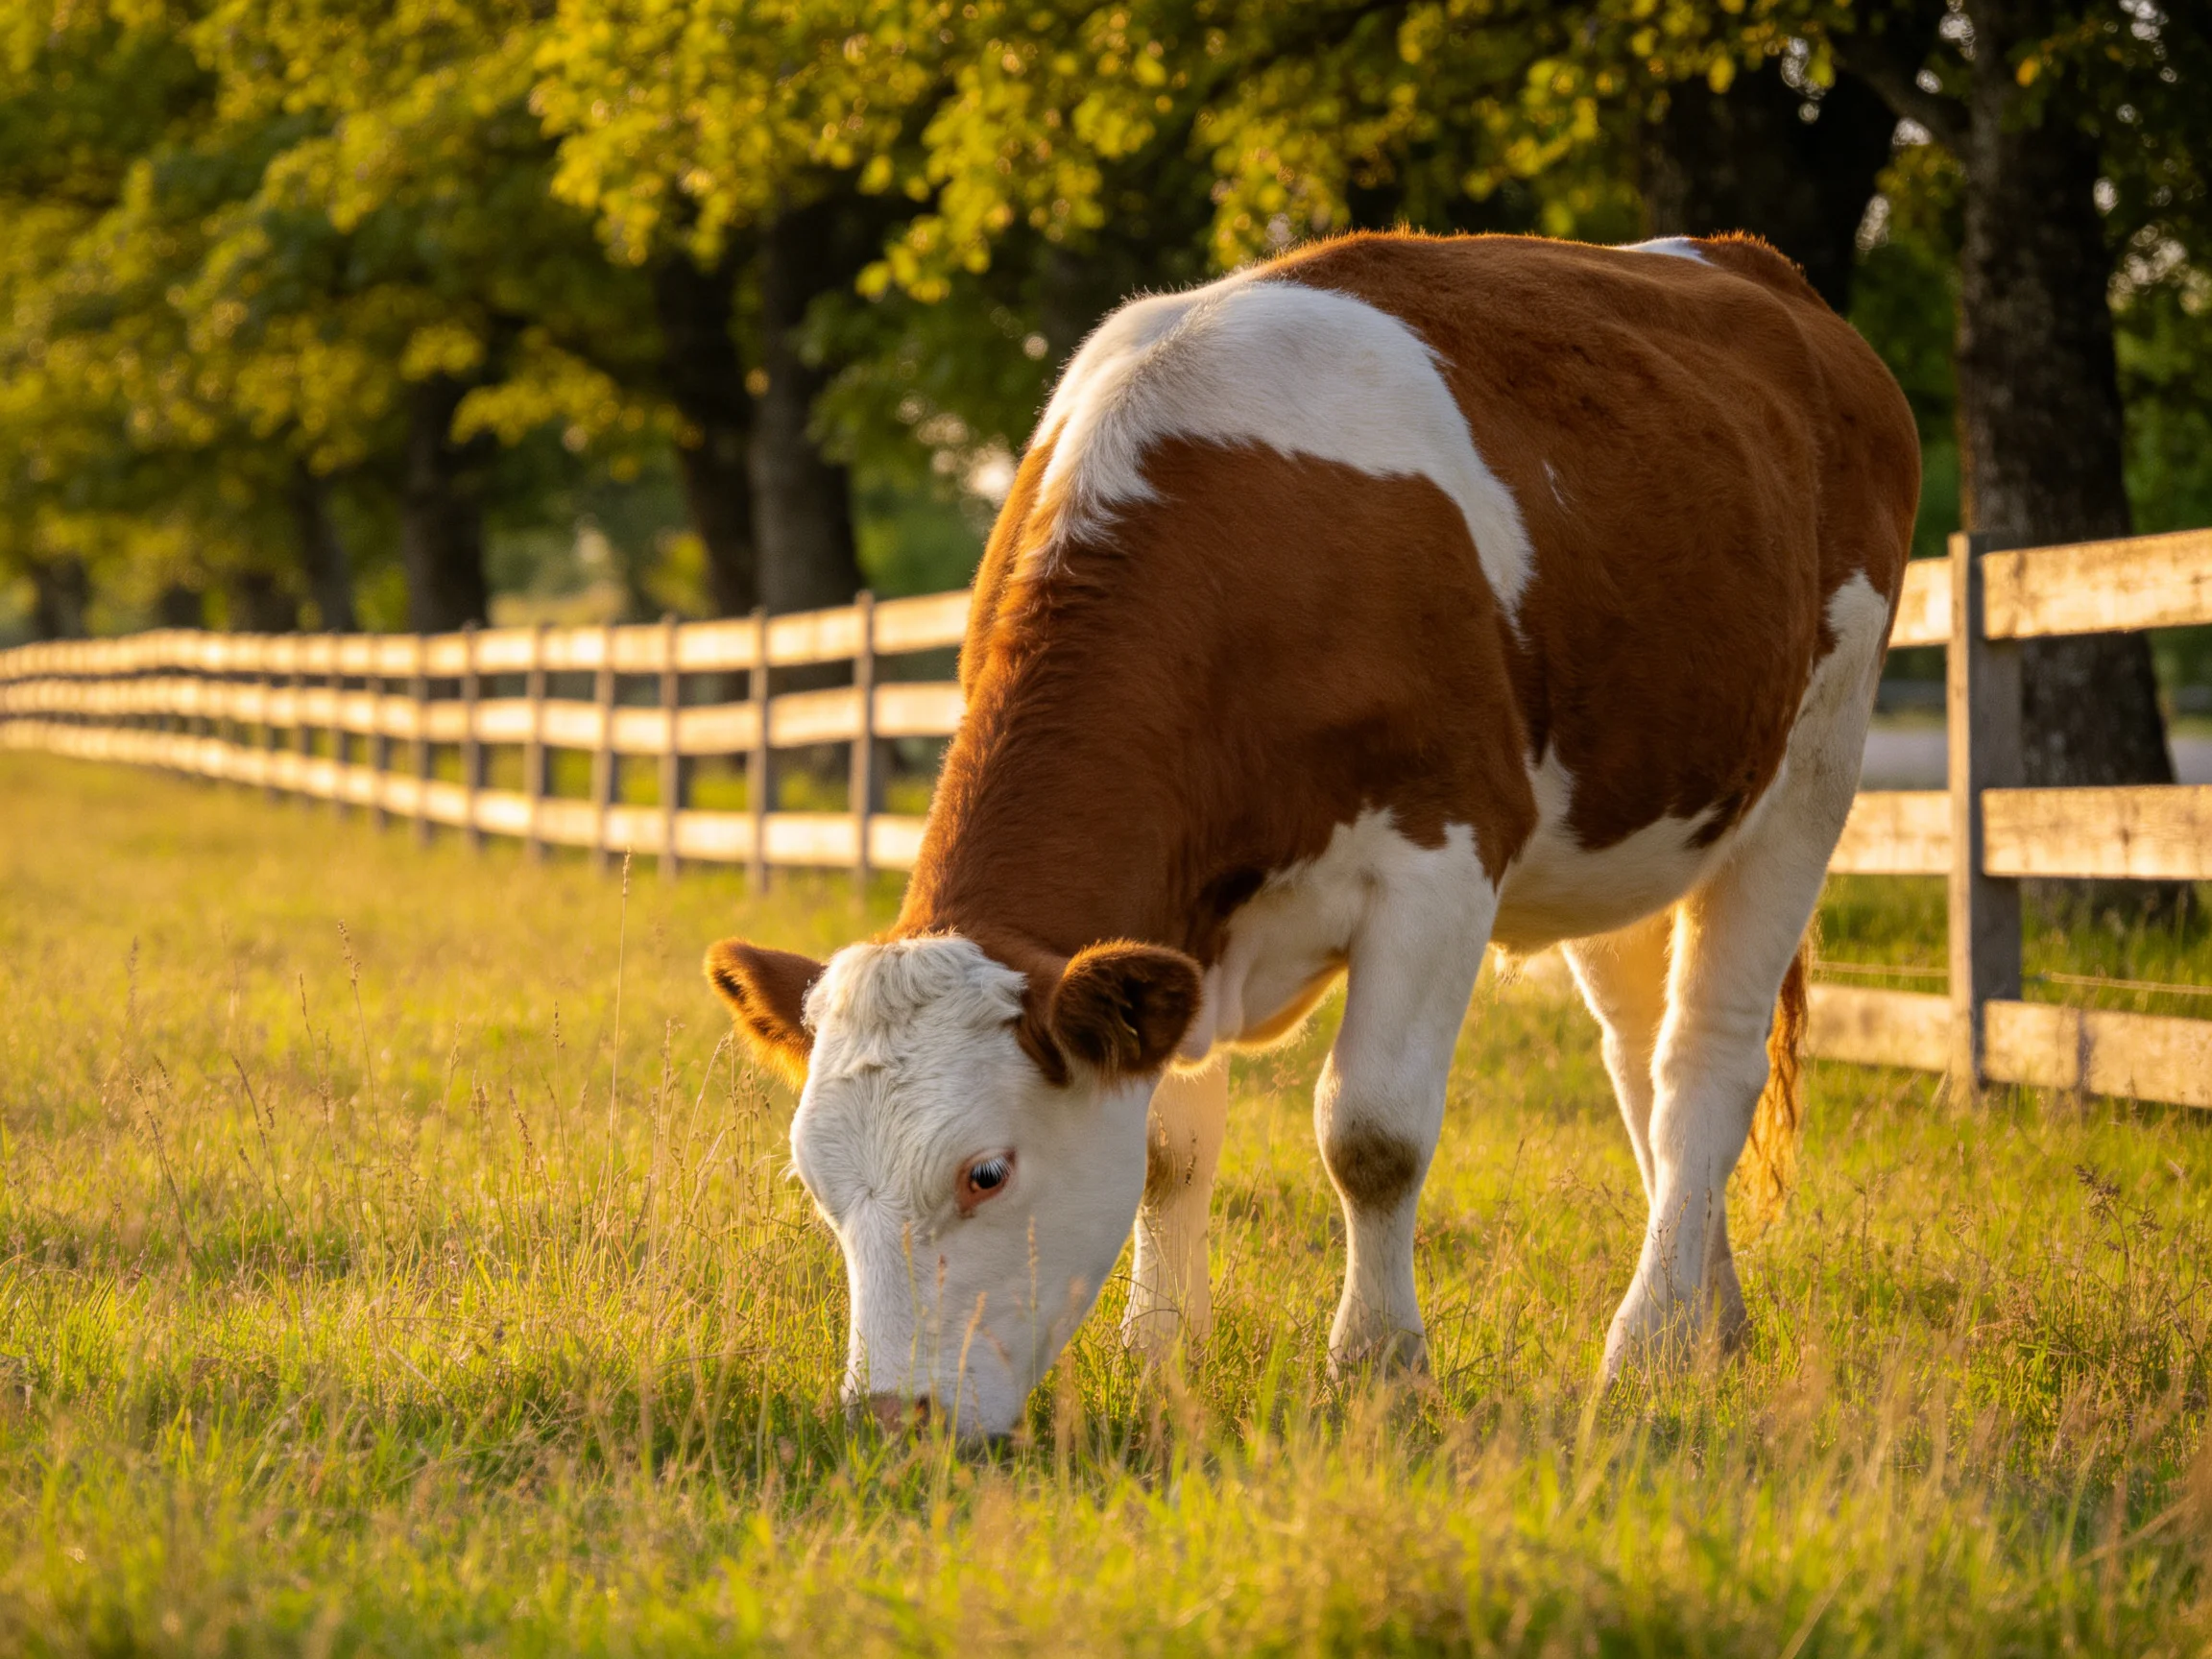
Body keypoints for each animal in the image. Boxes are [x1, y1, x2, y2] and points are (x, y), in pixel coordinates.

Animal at [706, 230, 1919, 1439]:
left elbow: (1371, 1135)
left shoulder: (1441, 858)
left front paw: (1378, 1364)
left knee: (1707, 1057)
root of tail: (1745, 264)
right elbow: (1167, 1149)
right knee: (1639, 1061)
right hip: (1627, 829)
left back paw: (1651, 1345)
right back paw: (1710, 1321)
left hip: (1814, 765)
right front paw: (1162, 1354)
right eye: (817, 1187)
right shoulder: (1170, 932)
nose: (890, 1416)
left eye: (986, 1173)